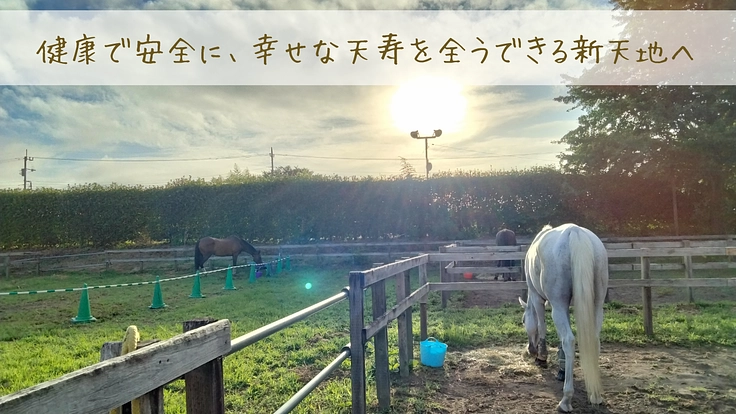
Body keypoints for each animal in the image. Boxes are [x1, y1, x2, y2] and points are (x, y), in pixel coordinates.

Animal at [518, 223, 608, 413]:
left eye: (523, 321)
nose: (530, 349)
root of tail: (575, 232)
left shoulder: (537, 298)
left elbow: (541, 326)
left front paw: (541, 357)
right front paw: (562, 367)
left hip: (557, 305)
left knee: (569, 340)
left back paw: (566, 400)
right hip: (596, 305)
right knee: (594, 341)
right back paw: (595, 395)